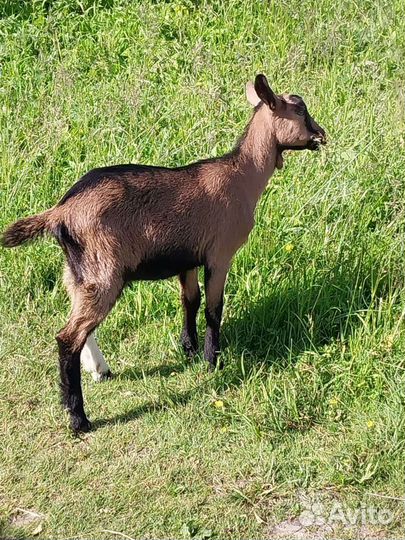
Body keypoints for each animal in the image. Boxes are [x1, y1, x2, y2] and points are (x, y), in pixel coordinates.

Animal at [1, 75, 326, 430]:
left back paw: (101, 370)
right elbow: (213, 308)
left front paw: (190, 349)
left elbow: (190, 300)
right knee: (68, 337)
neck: (241, 175)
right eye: (300, 110)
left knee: (80, 323)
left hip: (78, 271)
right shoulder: (219, 254)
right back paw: (78, 418)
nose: (321, 135)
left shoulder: (188, 258)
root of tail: (60, 212)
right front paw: (212, 361)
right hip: (104, 272)